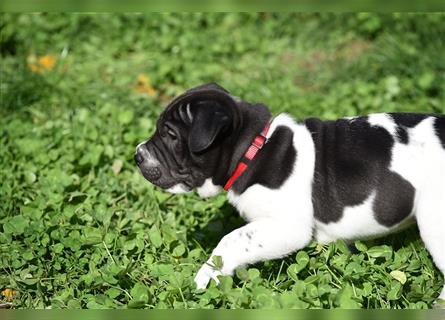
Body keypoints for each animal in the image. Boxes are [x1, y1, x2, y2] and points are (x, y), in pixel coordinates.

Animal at [134, 82, 444, 302]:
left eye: (171, 135)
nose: (137, 154)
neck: (253, 148)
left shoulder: (287, 227)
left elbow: (231, 240)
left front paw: (205, 277)